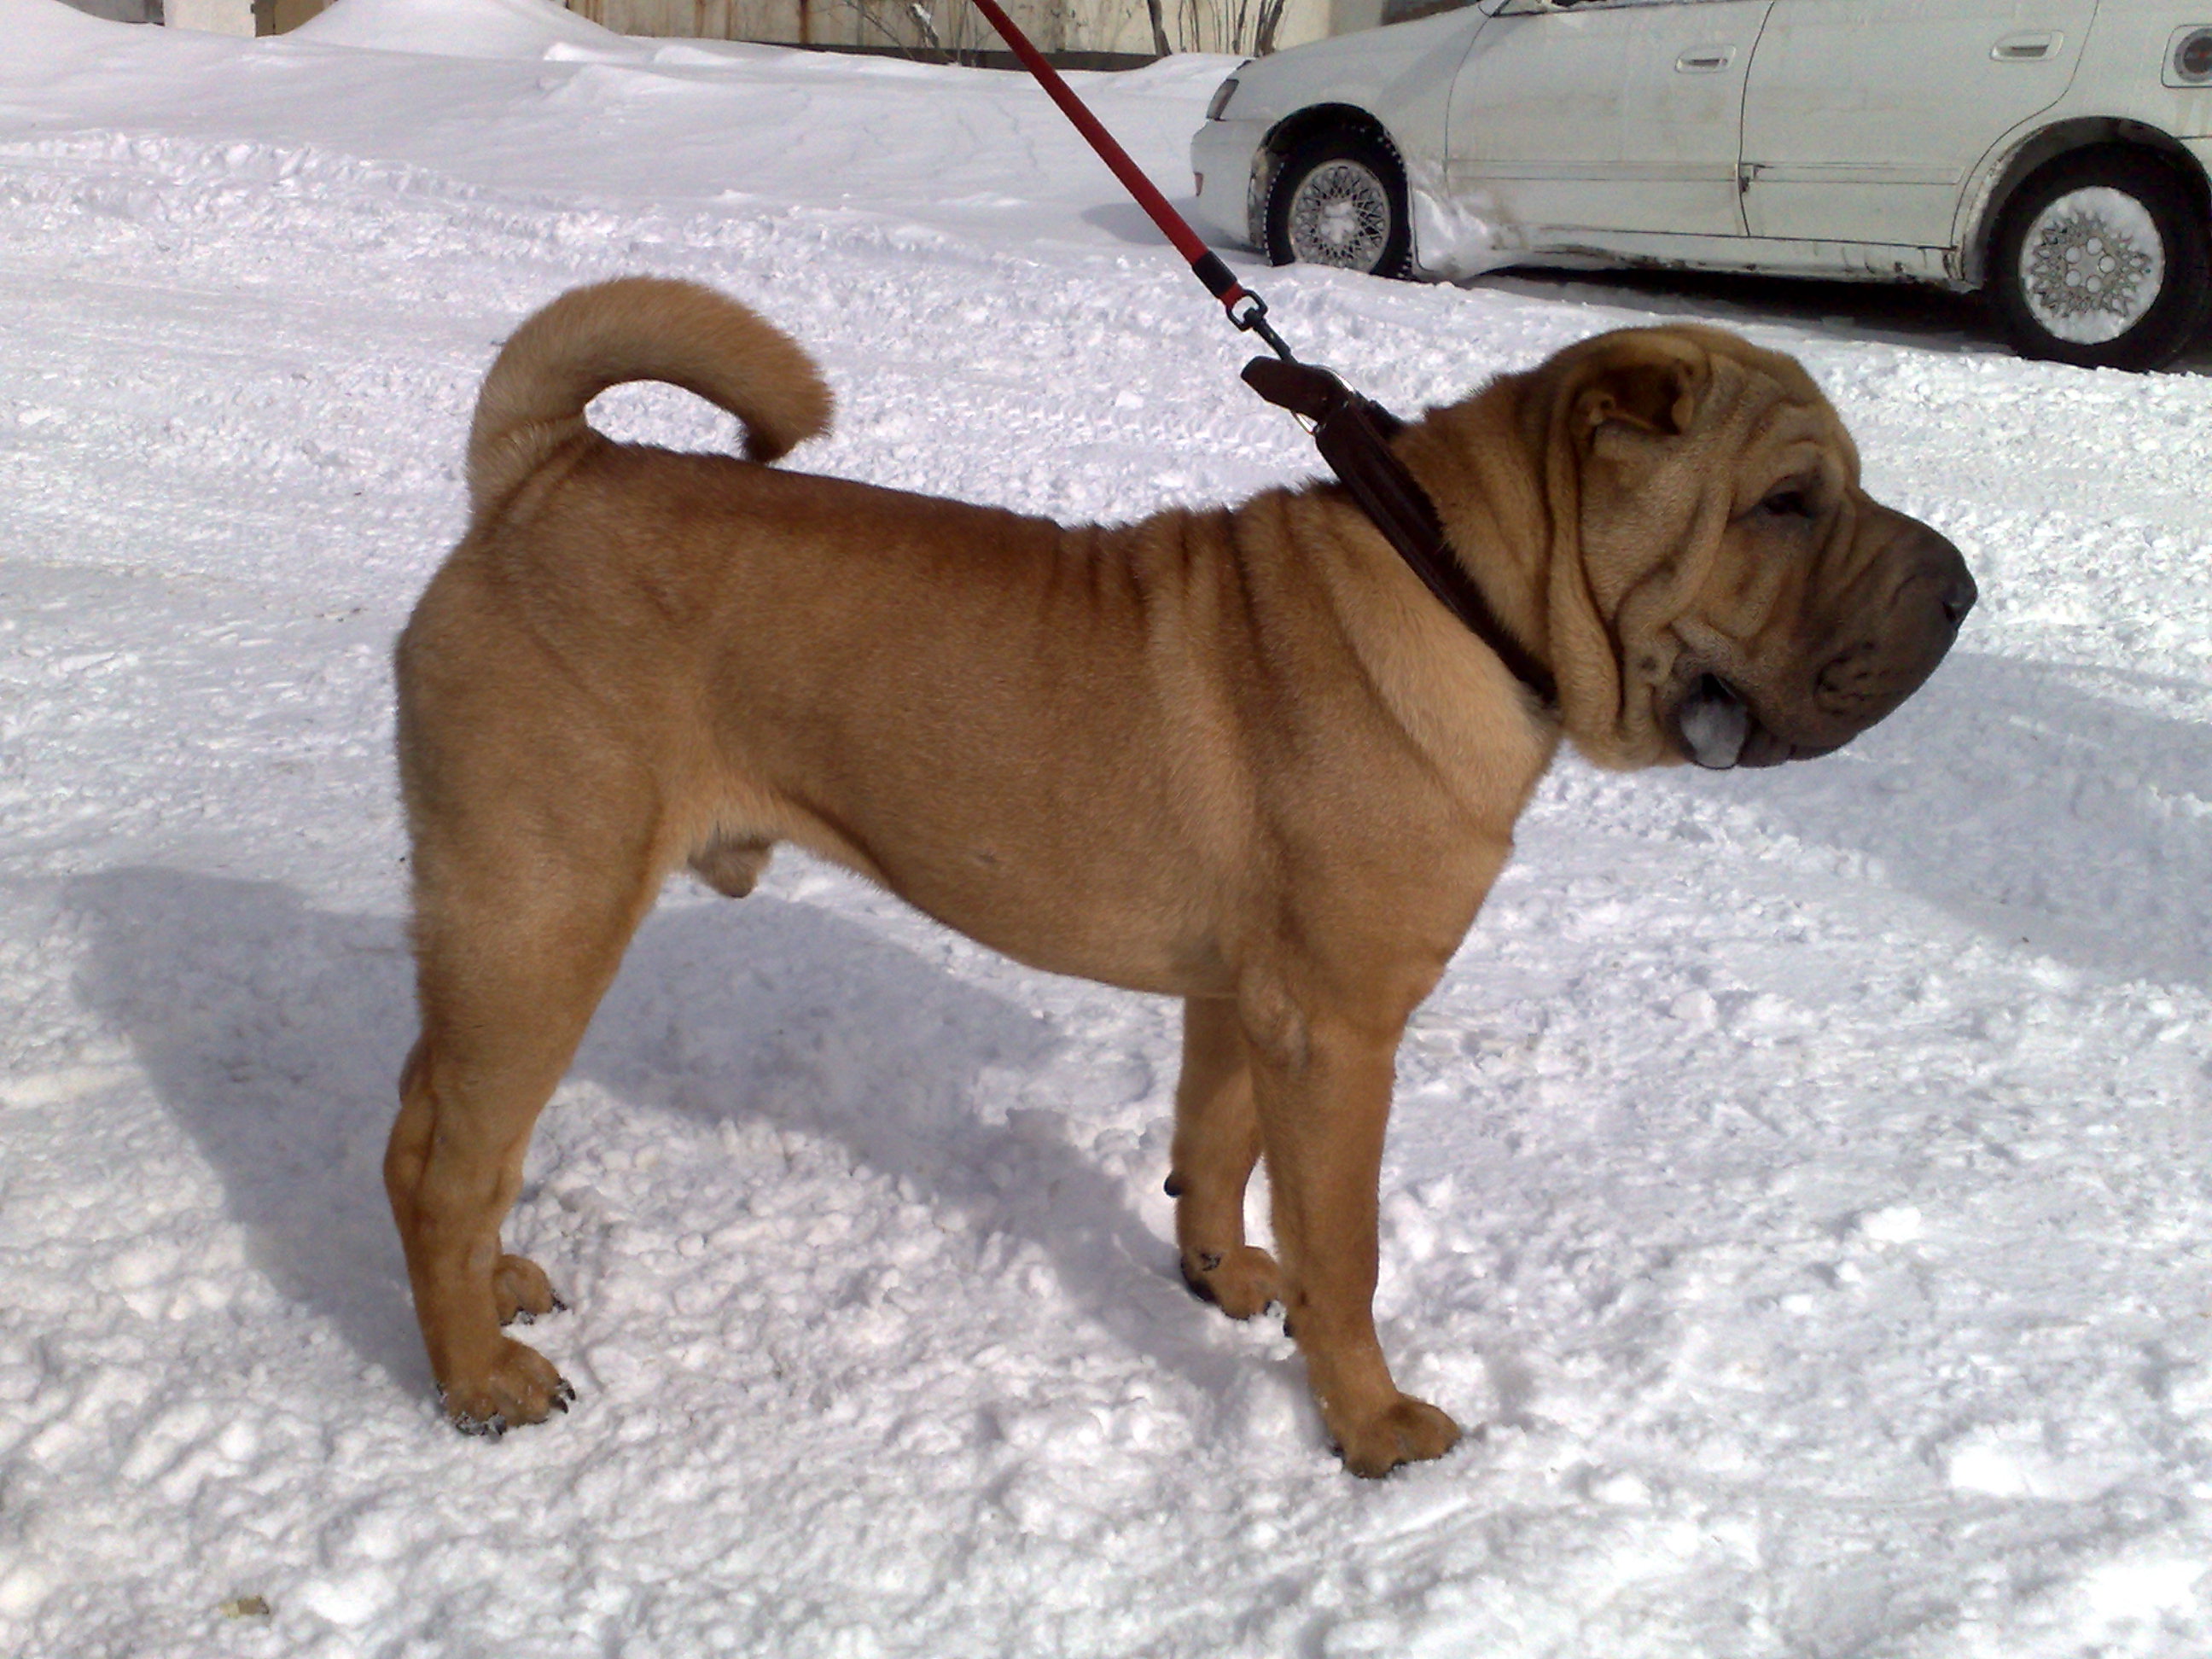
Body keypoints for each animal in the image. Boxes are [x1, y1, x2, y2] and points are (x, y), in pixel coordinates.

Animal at [386, 277, 1973, 1476]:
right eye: (1787, 502)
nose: (1963, 588)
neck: (1461, 587)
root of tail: (545, 471)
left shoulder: (1249, 999)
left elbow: (1215, 1148)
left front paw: (1221, 1278)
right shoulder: (1341, 1029)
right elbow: (1347, 1247)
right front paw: (1372, 1425)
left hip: (494, 920)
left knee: (429, 1125)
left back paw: (496, 1286)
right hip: (545, 911)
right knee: (447, 1159)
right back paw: (478, 1376)